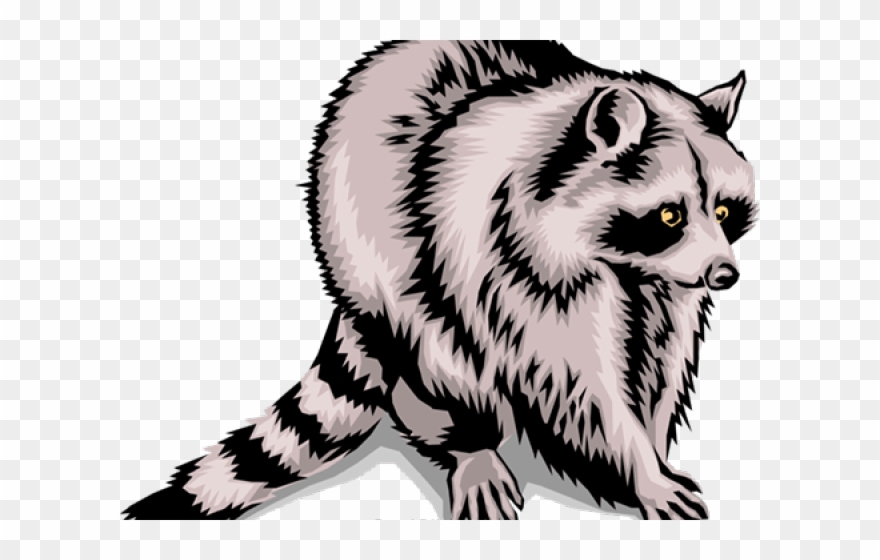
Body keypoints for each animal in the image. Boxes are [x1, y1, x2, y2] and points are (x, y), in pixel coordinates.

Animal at [123, 40, 756, 520]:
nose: (725, 275)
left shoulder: (665, 288)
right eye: (670, 216)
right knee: (441, 351)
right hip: (390, 268)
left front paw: (652, 442)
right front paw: (638, 468)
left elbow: (658, 363)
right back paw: (469, 442)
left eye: (725, 211)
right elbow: (579, 384)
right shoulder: (518, 262)